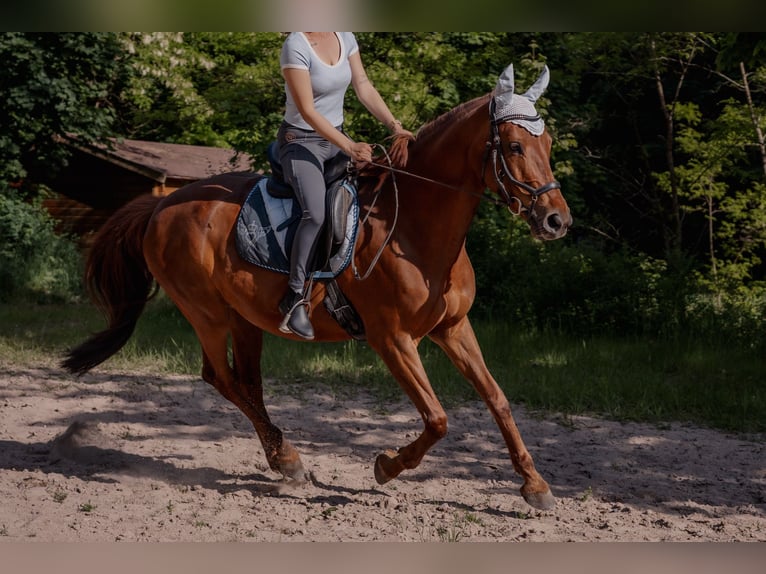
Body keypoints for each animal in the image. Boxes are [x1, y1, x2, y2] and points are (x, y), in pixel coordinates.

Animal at [62, 63, 572, 511]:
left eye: (546, 142)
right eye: (512, 146)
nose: (556, 220)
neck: (414, 228)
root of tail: (160, 207)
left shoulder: (453, 328)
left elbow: (498, 400)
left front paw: (535, 485)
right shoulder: (392, 339)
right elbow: (438, 418)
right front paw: (386, 466)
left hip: (245, 317)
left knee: (247, 382)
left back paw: (280, 457)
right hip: (205, 313)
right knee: (221, 378)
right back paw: (288, 458)